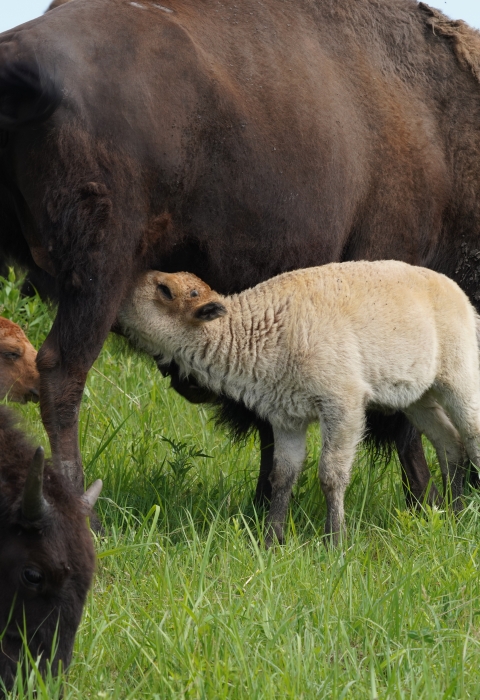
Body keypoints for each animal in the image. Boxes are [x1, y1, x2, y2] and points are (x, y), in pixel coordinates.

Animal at [0, 0, 479, 505]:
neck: (440, 132)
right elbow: (404, 416)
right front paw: (423, 500)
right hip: (100, 273)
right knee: (64, 372)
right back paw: (73, 499)